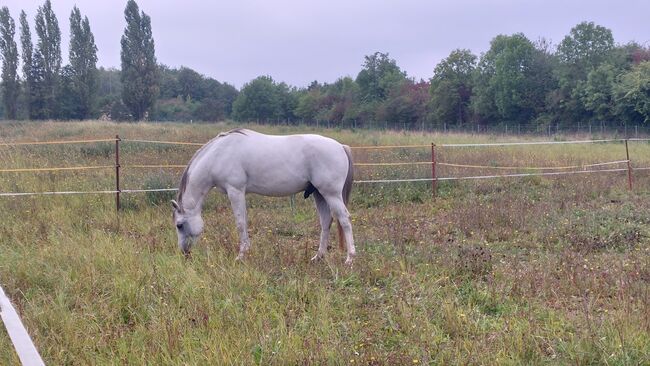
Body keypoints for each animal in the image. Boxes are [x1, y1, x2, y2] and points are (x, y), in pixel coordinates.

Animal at [171, 129, 354, 264]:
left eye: (179, 225)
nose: (185, 253)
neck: (219, 154)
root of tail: (340, 146)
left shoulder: (235, 191)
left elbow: (240, 223)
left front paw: (241, 256)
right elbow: (244, 222)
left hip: (331, 194)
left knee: (344, 220)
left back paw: (350, 259)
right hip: (319, 194)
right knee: (325, 222)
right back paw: (318, 257)